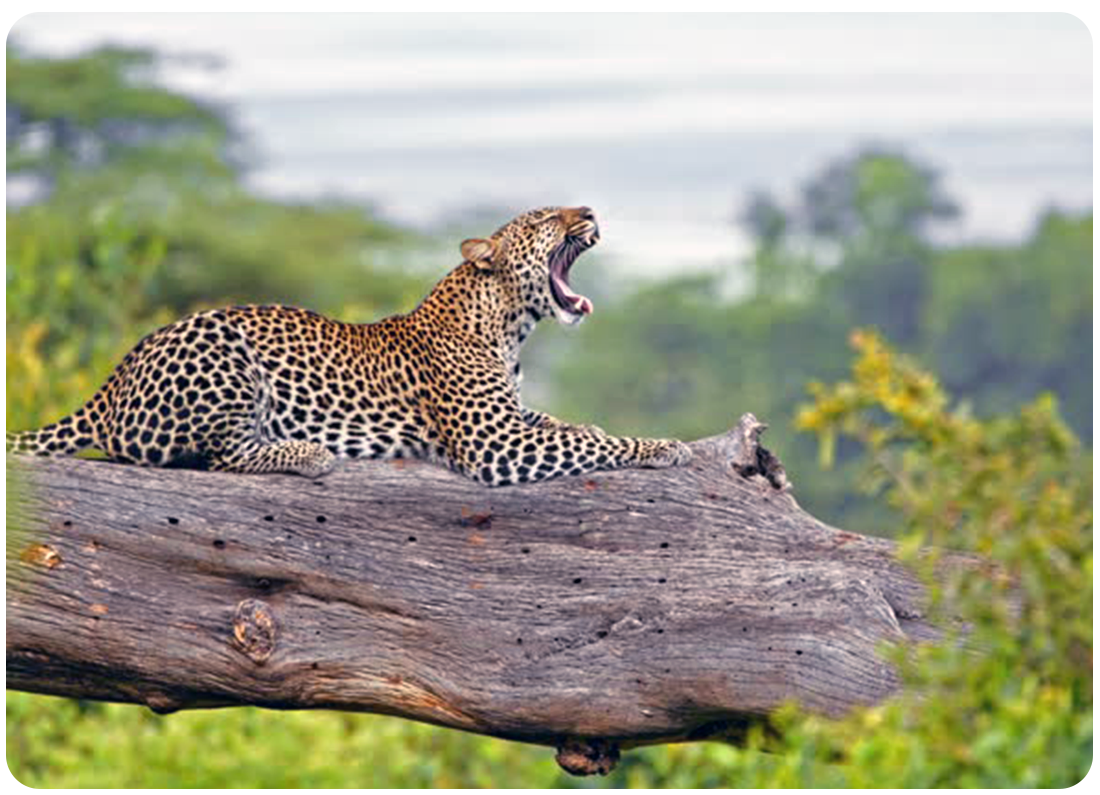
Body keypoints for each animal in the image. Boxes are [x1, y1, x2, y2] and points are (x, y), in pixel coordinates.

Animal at [7, 205, 693, 486]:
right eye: (549, 219)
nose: (590, 212)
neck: (508, 324)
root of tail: (112, 381)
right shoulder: (494, 444)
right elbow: (593, 442)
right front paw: (666, 447)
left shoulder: (514, 418)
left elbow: (566, 423)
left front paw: (626, 432)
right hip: (220, 347)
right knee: (216, 457)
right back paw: (306, 453)